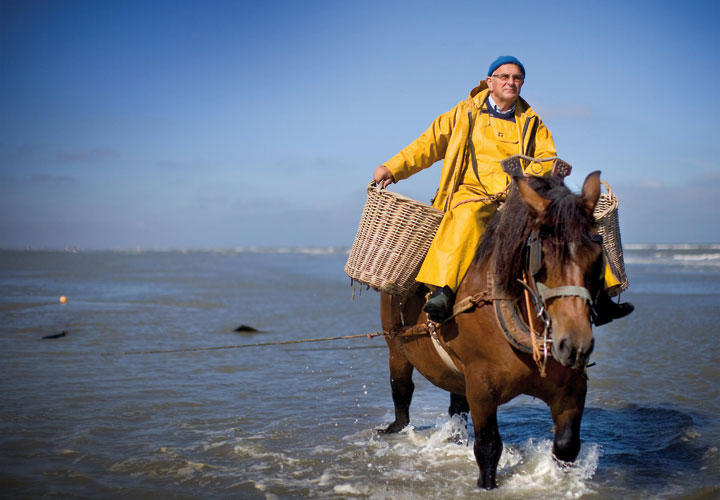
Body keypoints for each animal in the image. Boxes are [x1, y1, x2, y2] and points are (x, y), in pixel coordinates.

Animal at [380, 171, 604, 488]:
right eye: (543, 258)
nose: (575, 345)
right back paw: (397, 427)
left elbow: (566, 447)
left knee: (455, 404)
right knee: (401, 388)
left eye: (597, 255)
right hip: (396, 346)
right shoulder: (481, 387)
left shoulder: (572, 388)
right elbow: (488, 448)